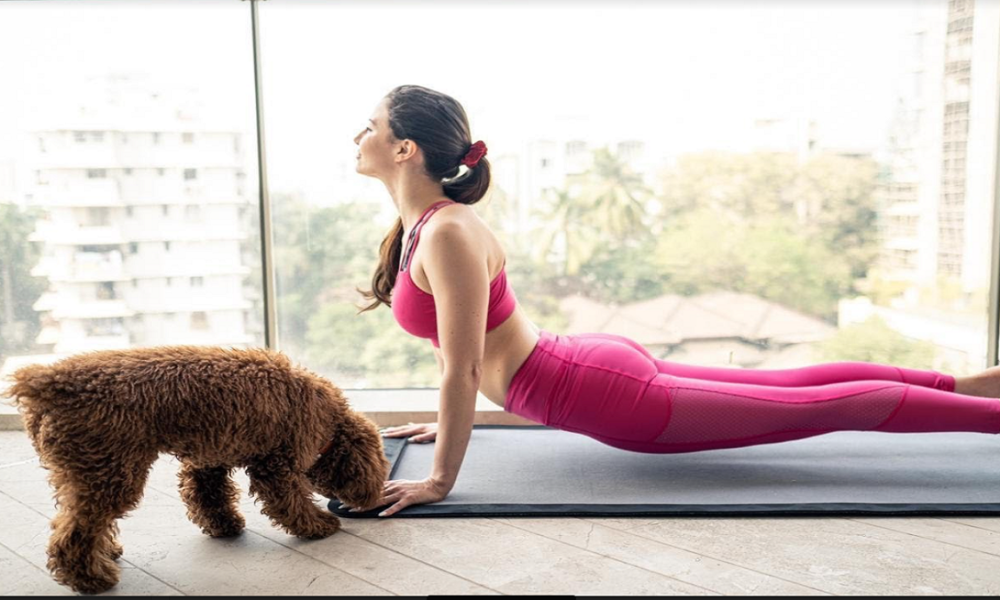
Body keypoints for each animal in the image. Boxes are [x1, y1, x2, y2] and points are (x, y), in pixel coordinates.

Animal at [5, 344, 392, 592]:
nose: (372, 499)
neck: (326, 418)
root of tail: (48, 383)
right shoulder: (275, 464)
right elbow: (290, 501)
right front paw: (318, 526)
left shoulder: (210, 458)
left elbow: (209, 497)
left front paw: (225, 526)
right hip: (109, 471)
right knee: (74, 532)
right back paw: (90, 578)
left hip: (85, 472)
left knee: (80, 520)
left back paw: (106, 554)